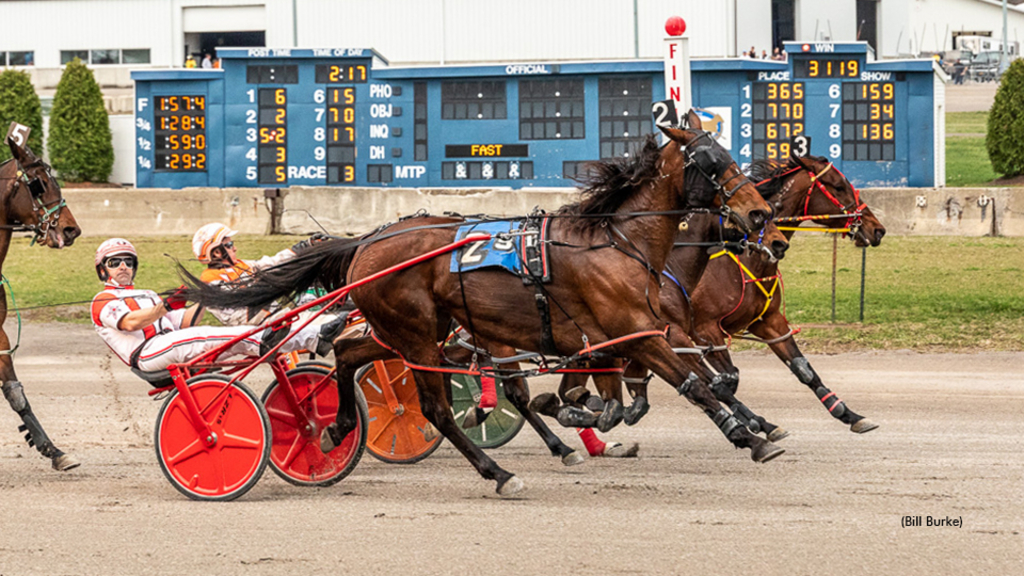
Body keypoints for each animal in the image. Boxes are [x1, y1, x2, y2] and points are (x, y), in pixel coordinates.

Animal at [184, 113, 778, 494]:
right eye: (711, 161)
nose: (760, 215)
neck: (615, 242)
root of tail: (367, 241)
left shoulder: (625, 338)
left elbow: (665, 388)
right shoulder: (636, 332)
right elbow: (696, 384)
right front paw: (748, 437)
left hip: (409, 331)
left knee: (351, 353)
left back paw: (335, 425)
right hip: (417, 334)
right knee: (434, 408)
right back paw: (498, 473)